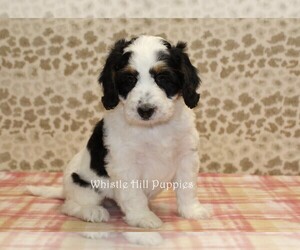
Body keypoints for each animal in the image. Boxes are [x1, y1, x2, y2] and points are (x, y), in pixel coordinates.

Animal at [28, 35, 211, 229]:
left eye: (163, 77)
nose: (145, 110)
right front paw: (142, 217)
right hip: (83, 184)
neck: (153, 128)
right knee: (70, 206)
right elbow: (134, 194)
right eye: (129, 79)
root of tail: (64, 190)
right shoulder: (125, 163)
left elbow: (187, 187)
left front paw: (192, 211)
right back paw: (92, 211)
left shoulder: (186, 156)